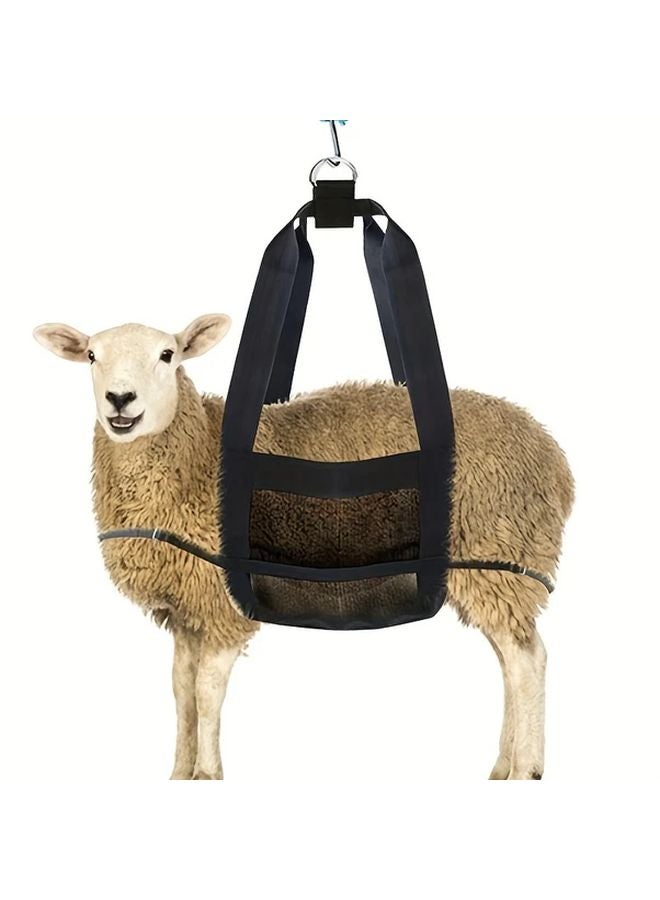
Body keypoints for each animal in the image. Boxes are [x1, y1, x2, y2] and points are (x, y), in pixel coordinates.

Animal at [33, 314, 574, 781]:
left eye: (168, 355)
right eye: (91, 355)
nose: (119, 399)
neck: (196, 454)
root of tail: (553, 455)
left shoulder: (223, 606)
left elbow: (206, 691)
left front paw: (207, 773)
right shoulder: (187, 610)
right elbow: (181, 690)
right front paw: (180, 773)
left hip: (502, 555)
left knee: (528, 660)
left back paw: (526, 768)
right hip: (488, 573)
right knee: (509, 661)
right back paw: (502, 767)